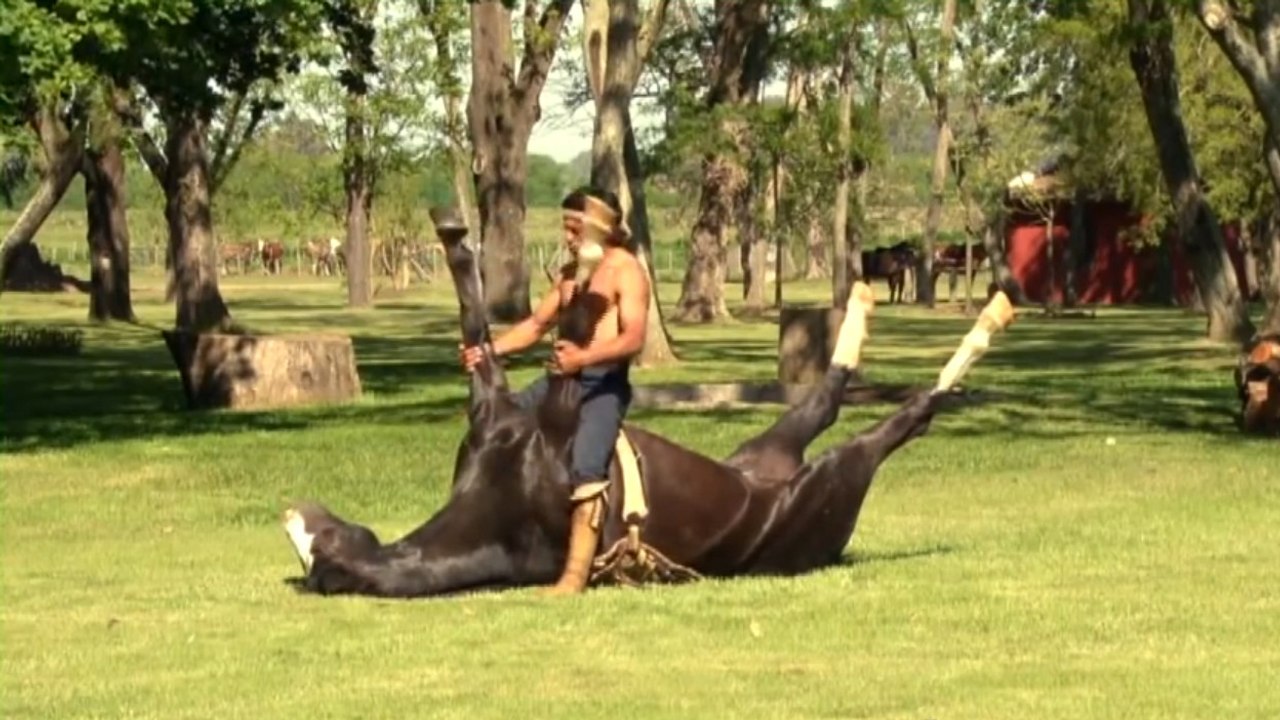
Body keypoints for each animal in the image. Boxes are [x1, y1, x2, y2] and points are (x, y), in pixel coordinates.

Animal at [280, 208, 1015, 597]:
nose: (299, 516)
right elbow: (514, 334)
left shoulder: (507, 407)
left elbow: (495, 331)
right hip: (822, 465)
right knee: (877, 412)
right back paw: (949, 332)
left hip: (804, 457)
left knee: (863, 401)